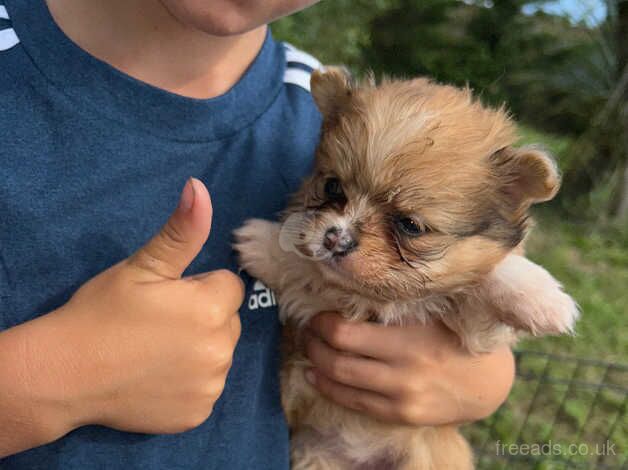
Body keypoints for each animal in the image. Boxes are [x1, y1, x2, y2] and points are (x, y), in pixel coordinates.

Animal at [233, 67, 576, 470]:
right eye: (332, 187)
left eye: (410, 225)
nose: (335, 239)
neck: (380, 301)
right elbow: (305, 267)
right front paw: (264, 241)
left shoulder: (474, 332)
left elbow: (490, 276)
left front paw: (542, 299)